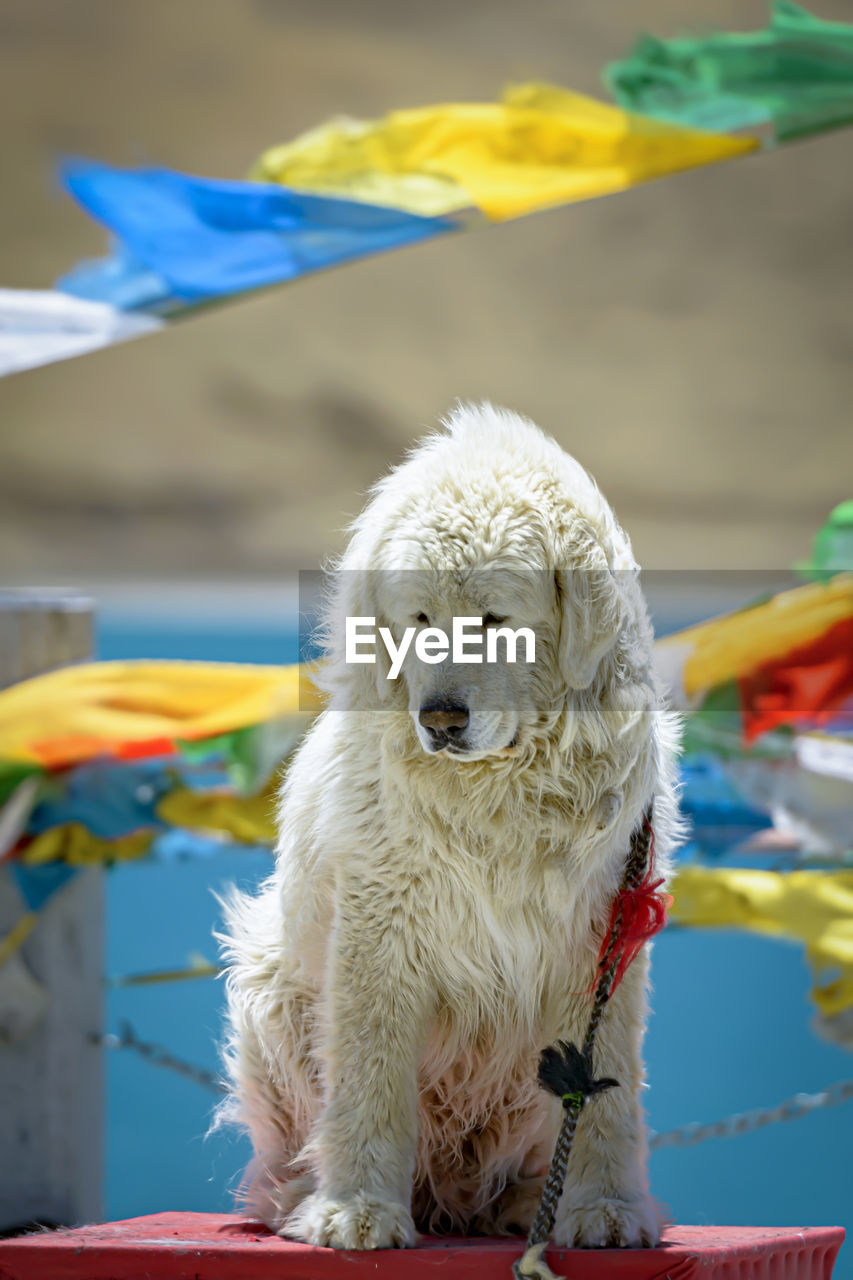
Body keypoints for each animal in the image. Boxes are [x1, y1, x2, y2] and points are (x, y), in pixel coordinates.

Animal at [217, 401, 676, 1249]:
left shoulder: (603, 926)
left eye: (494, 620)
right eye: (419, 618)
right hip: (269, 992)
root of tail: (451, 1199)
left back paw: (526, 1205)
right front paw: (355, 1213)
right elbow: (368, 1077)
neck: (499, 790)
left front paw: (605, 1209)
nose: (439, 718)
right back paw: (302, 1201)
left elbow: (605, 1087)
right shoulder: (378, 926)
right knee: (287, 1155)